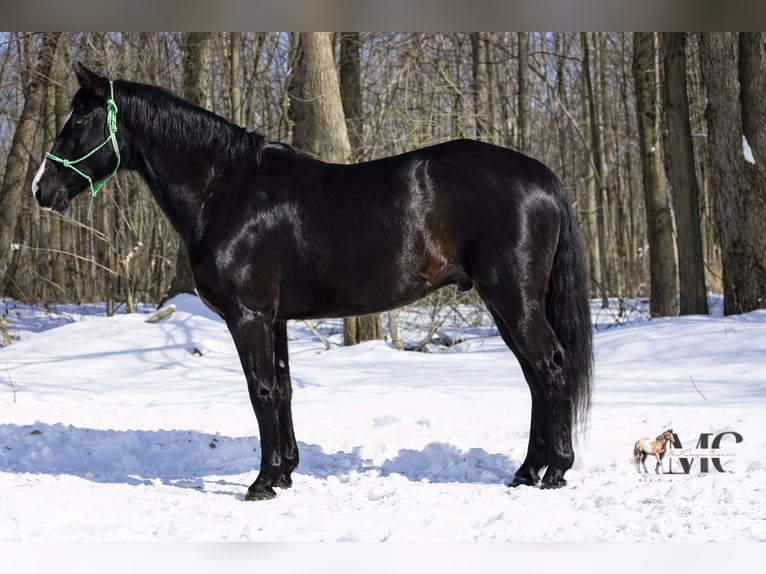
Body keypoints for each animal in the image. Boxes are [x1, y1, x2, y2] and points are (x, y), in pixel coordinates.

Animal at [32, 63, 593, 501]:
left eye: (79, 117)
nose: (42, 189)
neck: (227, 190)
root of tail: (543, 176)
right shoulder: (274, 318)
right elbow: (281, 389)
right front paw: (283, 474)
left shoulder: (248, 315)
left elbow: (260, 390)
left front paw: (261, 484)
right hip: (507, 304)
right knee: (536, 377)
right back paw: (526, 472)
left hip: (513, 299)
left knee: (551, 369)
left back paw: (555, 471)